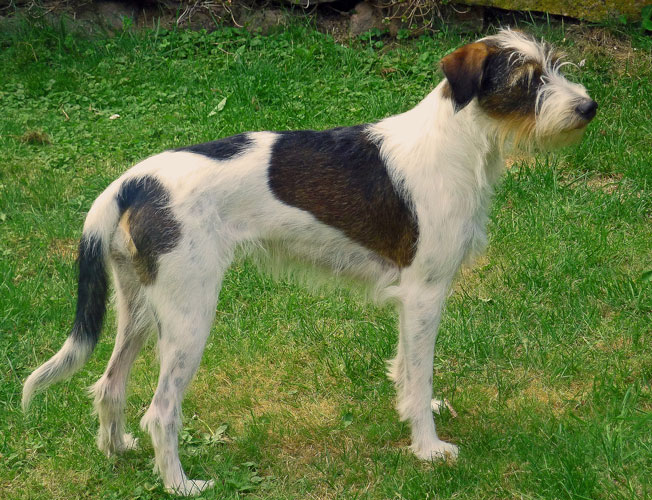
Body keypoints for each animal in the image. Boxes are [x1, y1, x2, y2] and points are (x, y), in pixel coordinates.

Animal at [22, 29, 597, 495]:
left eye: (554, 64)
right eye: (528, 79)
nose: (589, 108)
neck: (457, 142)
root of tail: (133, 181)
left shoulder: (409, 299)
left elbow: (406, 369)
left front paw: (415, 412)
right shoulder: (425, 293)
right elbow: (422, 371)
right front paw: (429, 448)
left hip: (139, 307)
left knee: (109, 384)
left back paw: (117, 451)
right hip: (188, 316)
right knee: (161, 412)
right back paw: (182, 484)